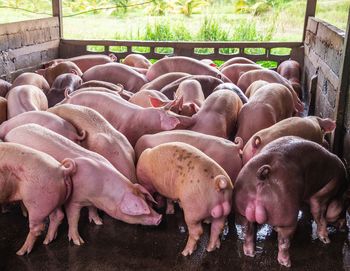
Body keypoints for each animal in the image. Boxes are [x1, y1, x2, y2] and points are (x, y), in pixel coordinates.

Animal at [234, 137, 348, 268]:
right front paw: (326, 240)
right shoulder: (322, 196)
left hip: (243, 212)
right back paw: (287, 263)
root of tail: (261, 175)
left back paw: (250, 254)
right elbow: (320, 217)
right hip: (287, 219)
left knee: (249, 232)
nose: (345, 227)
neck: (338, 193)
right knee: (284, 242)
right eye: (345, 207)